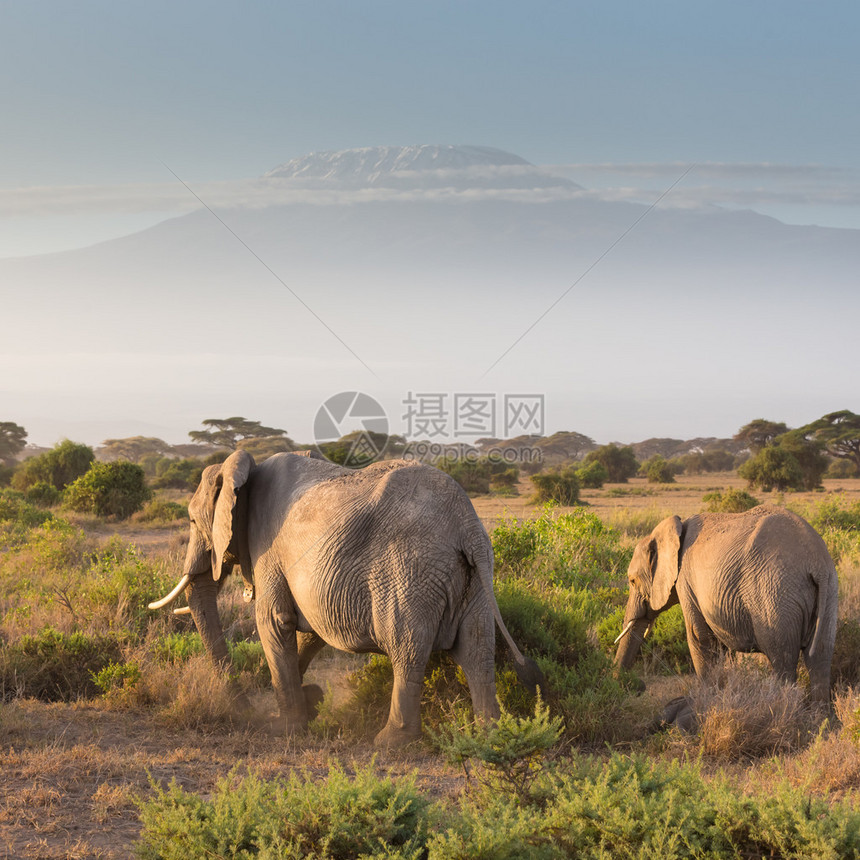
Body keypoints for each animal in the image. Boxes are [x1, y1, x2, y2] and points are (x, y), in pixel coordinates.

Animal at [151, 450, 540, 744]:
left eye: (191, 521)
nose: (243, 707)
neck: (244, 468)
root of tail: (467, 525)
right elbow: (310, 631)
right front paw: (310, 702)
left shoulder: (268, 550)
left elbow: (274, 621)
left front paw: (286, 727)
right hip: (474, 579)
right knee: (477, 648)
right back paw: (490, 737)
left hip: (410, 571)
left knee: (407, 647)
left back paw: (391, 743)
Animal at [616, 508, 836, 704]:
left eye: (632, 581)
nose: (638, 687)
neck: (675, 527)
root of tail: (816, 563)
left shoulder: (686, 580)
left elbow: (699, 636)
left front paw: (705, 702)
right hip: (828, 593)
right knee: (820, 658)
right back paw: (818, 720)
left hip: (775, 596)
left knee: (783, 660)